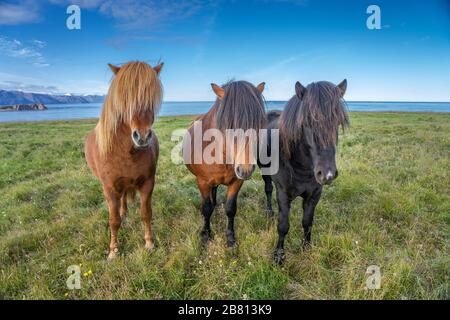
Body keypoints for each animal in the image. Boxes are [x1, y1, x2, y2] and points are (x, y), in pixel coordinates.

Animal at [84, 60, 163, 260]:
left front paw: (149, 242)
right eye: (124, 98)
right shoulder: (110, 188)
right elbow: (114, 220)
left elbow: (146, 213)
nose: (142, 137)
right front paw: (113, 251)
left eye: (151, 98)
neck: (125, 153)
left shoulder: (147, 183)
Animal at [258, 79, 350, 264]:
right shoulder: (283, 193)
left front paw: (306, 247)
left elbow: (307, 222)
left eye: (338, 122)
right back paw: (269, 212)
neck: (301, 166)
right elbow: (283, 225)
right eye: (306, 123)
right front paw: (279, 256)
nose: (327, 174)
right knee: (268, 189)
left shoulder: (314, 194)